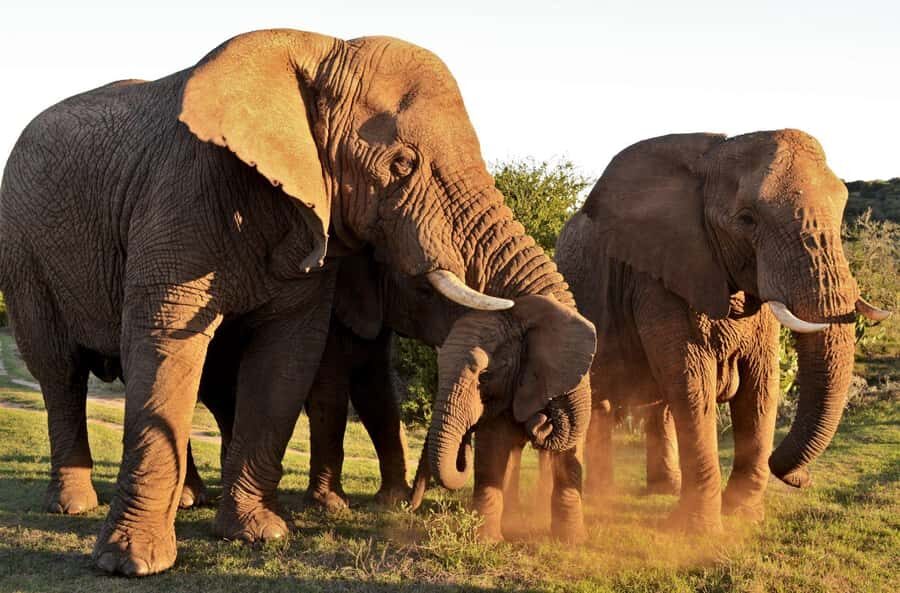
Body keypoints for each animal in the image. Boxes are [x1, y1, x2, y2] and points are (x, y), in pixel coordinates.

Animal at [0, 29, 597, 575]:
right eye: (402, 164)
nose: (541, 420)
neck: (321, 49)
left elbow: (287, 359)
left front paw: (258, 535)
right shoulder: (181, 194)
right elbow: (165, 343)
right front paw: (131, 563)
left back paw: (193, 499)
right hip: (24, 255)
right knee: (59, 372)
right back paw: (74, 506)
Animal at [554, 130, 890, 532]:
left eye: (841, 210)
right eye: (747, 219)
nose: (801, 479)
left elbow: (761, 387)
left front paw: (742, 515)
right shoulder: (658, 278)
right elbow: (693, 383)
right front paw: (697, 530)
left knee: (657, 406)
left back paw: (661, 490)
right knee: (604, 402)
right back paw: (603, 495)